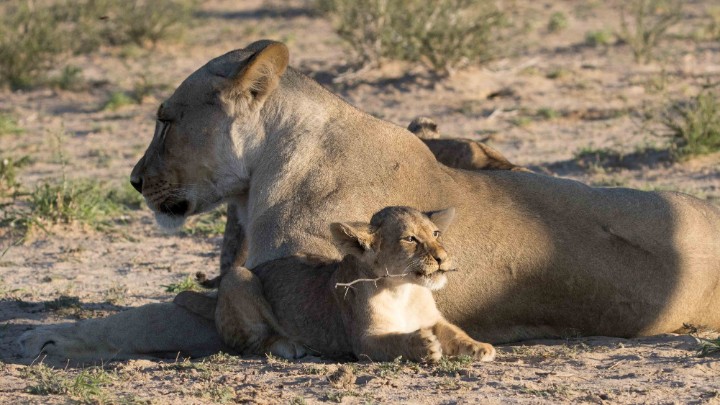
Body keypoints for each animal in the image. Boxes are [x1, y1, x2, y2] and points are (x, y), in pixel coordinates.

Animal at [177, 206, 495, 363]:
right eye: (410, 239)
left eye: (436, 233)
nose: (442, 258)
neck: (404, 289)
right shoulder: (364, 341)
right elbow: (395, 342)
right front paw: (423, 345)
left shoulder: (434, 319)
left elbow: (455, 332)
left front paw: (480, 347)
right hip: (238, 277)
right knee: (251, 342)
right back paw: (289, 346)